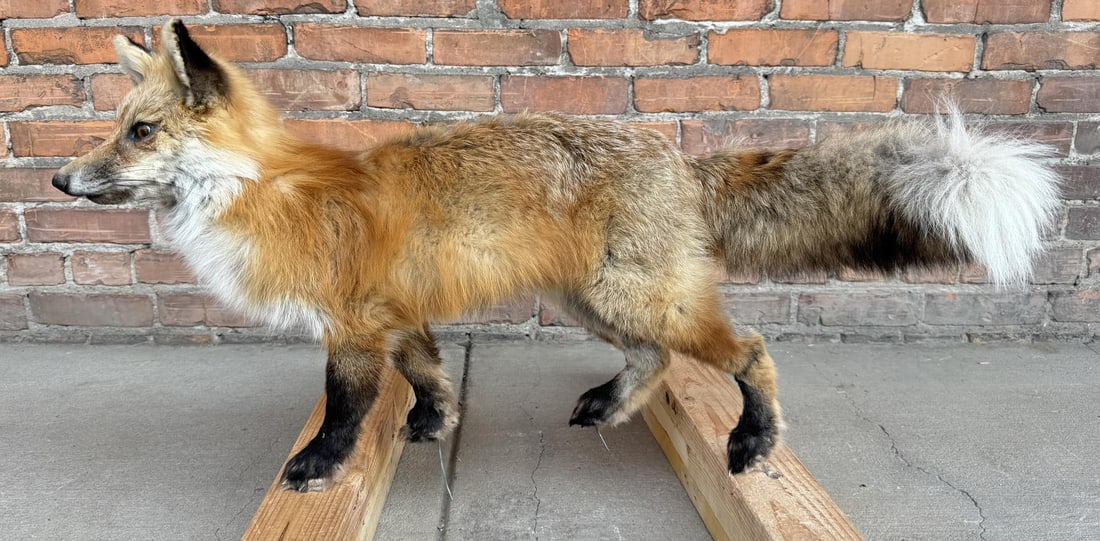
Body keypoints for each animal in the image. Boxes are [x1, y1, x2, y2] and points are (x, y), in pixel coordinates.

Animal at [53, 20, 1061, 493]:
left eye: (140, 132)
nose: (62, 178)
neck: (272, 194)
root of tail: (676, 156)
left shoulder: (352, 326)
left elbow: (344, 410)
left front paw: (318, 467)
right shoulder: (400, 317)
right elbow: (430, 377)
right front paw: (433, 426)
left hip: (635, 297)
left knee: (752, 350)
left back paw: (753, 439)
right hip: (598, 302)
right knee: (655, 363)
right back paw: (612, 404)